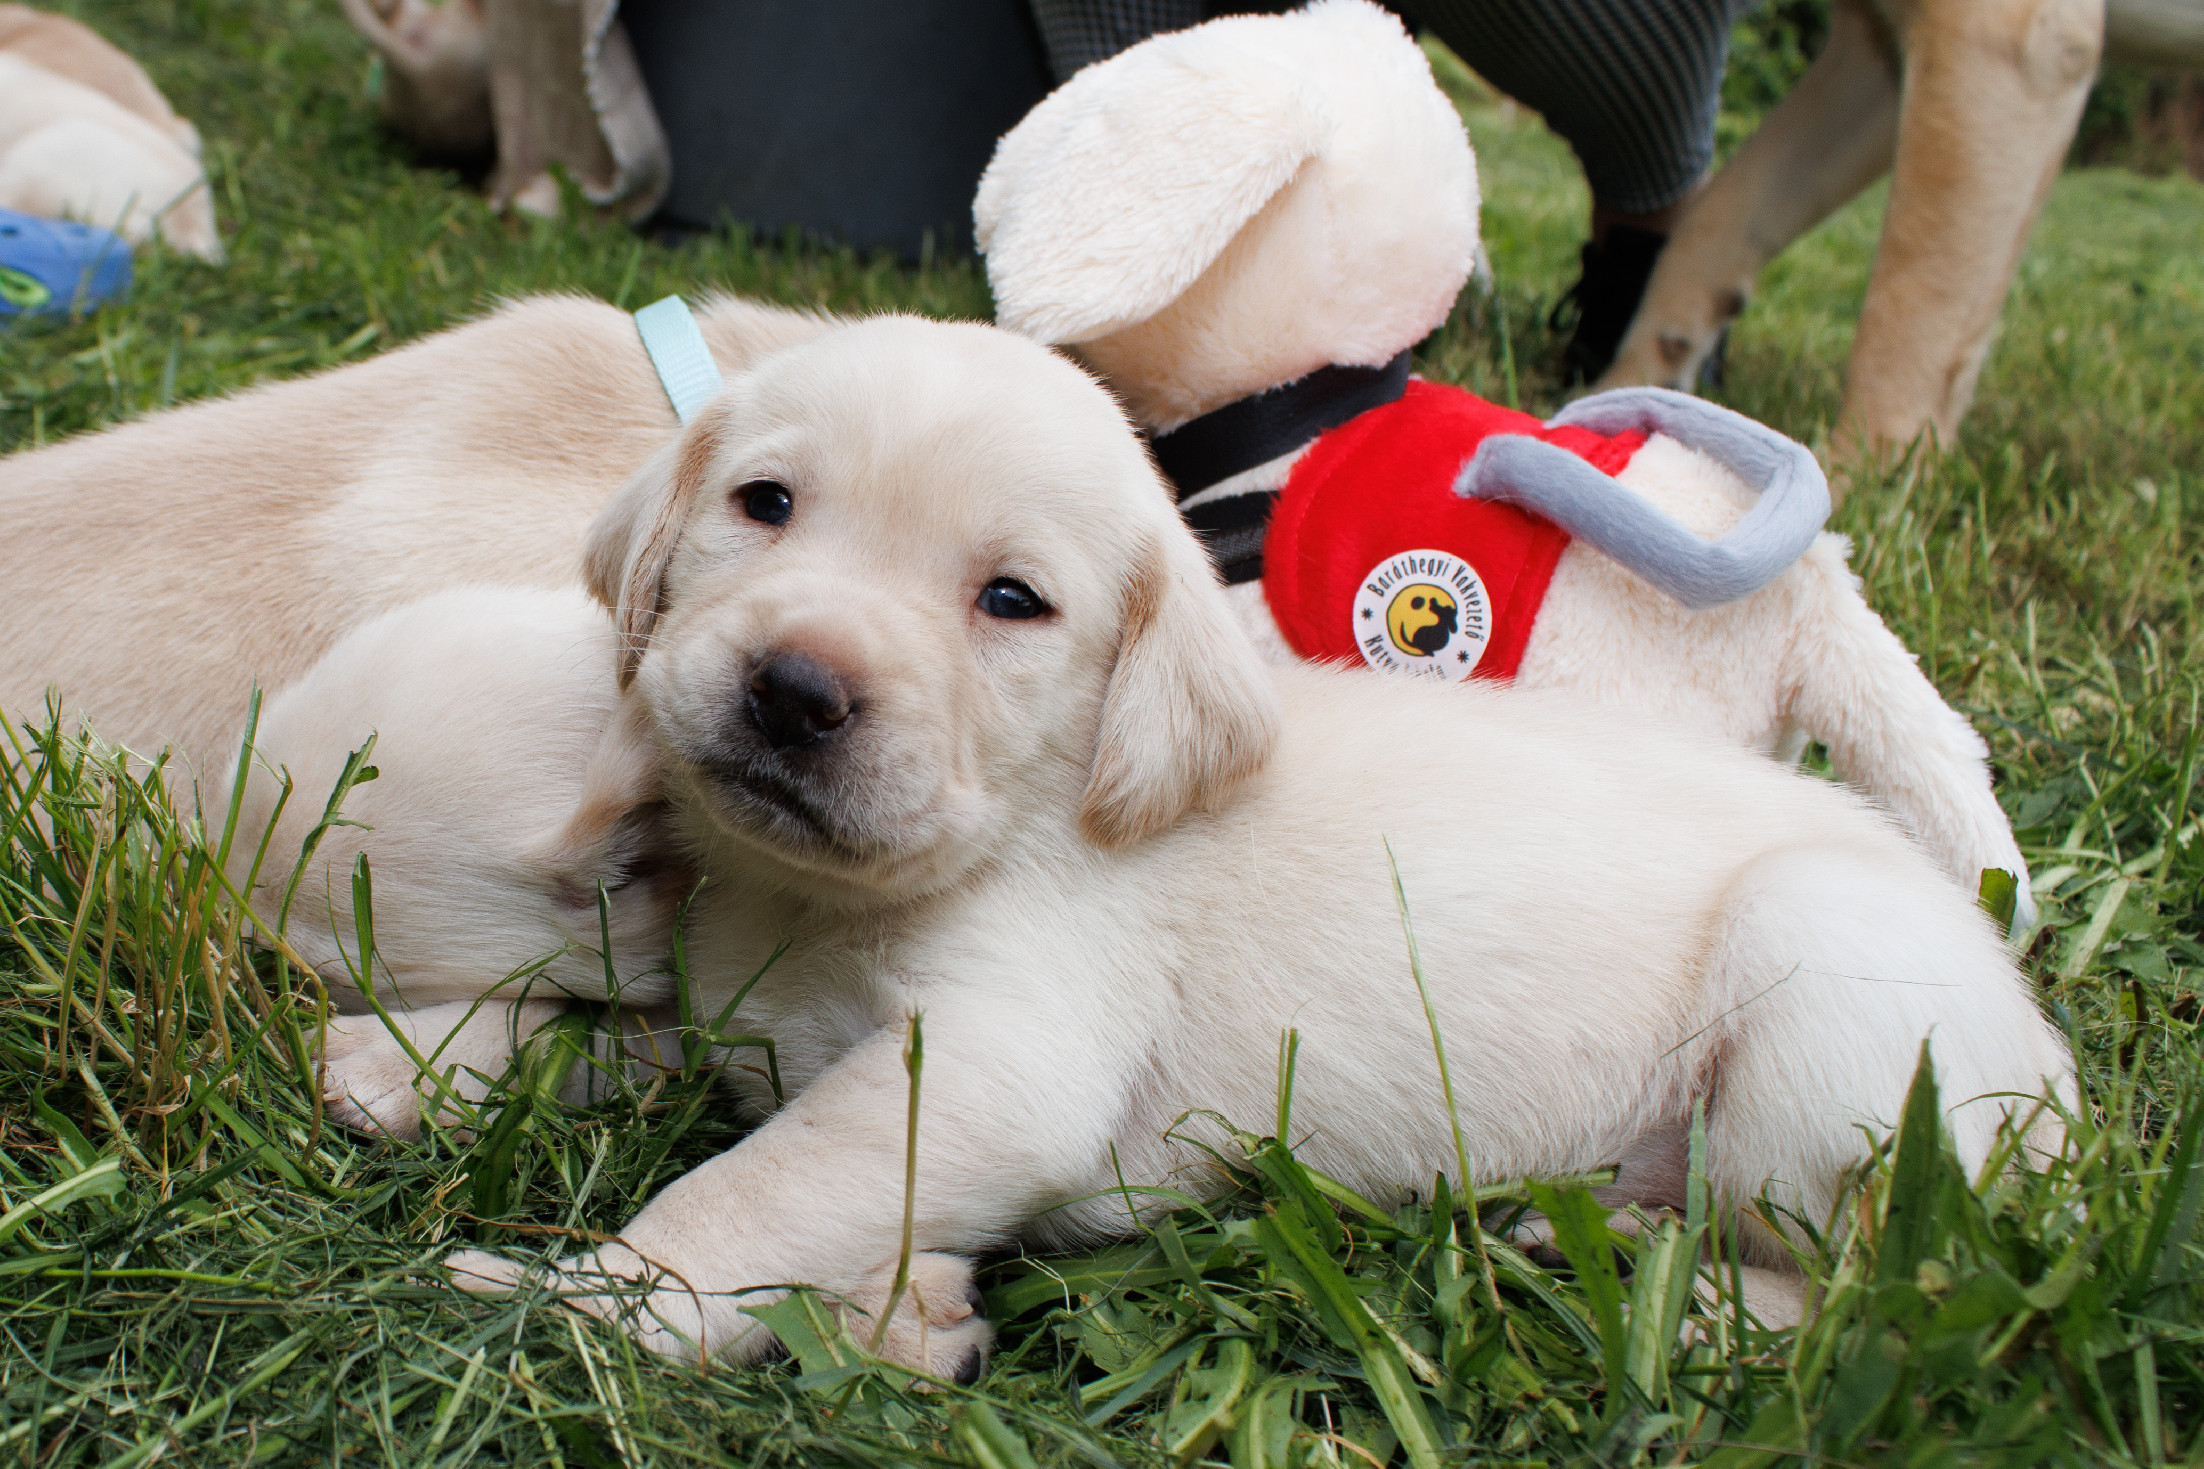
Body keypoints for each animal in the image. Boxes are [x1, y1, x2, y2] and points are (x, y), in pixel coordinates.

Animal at [443, 312, 2062, 1383]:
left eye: (1013, 600)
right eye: (763, 504)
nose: (793, 691)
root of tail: (2053, 1078)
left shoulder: (995, 1063)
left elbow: (756, 1189)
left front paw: (576, 1297)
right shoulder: (742, 1019)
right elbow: (609, 1038)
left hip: (1830, 981)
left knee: (1891, 1279)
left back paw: (1707, 1303)